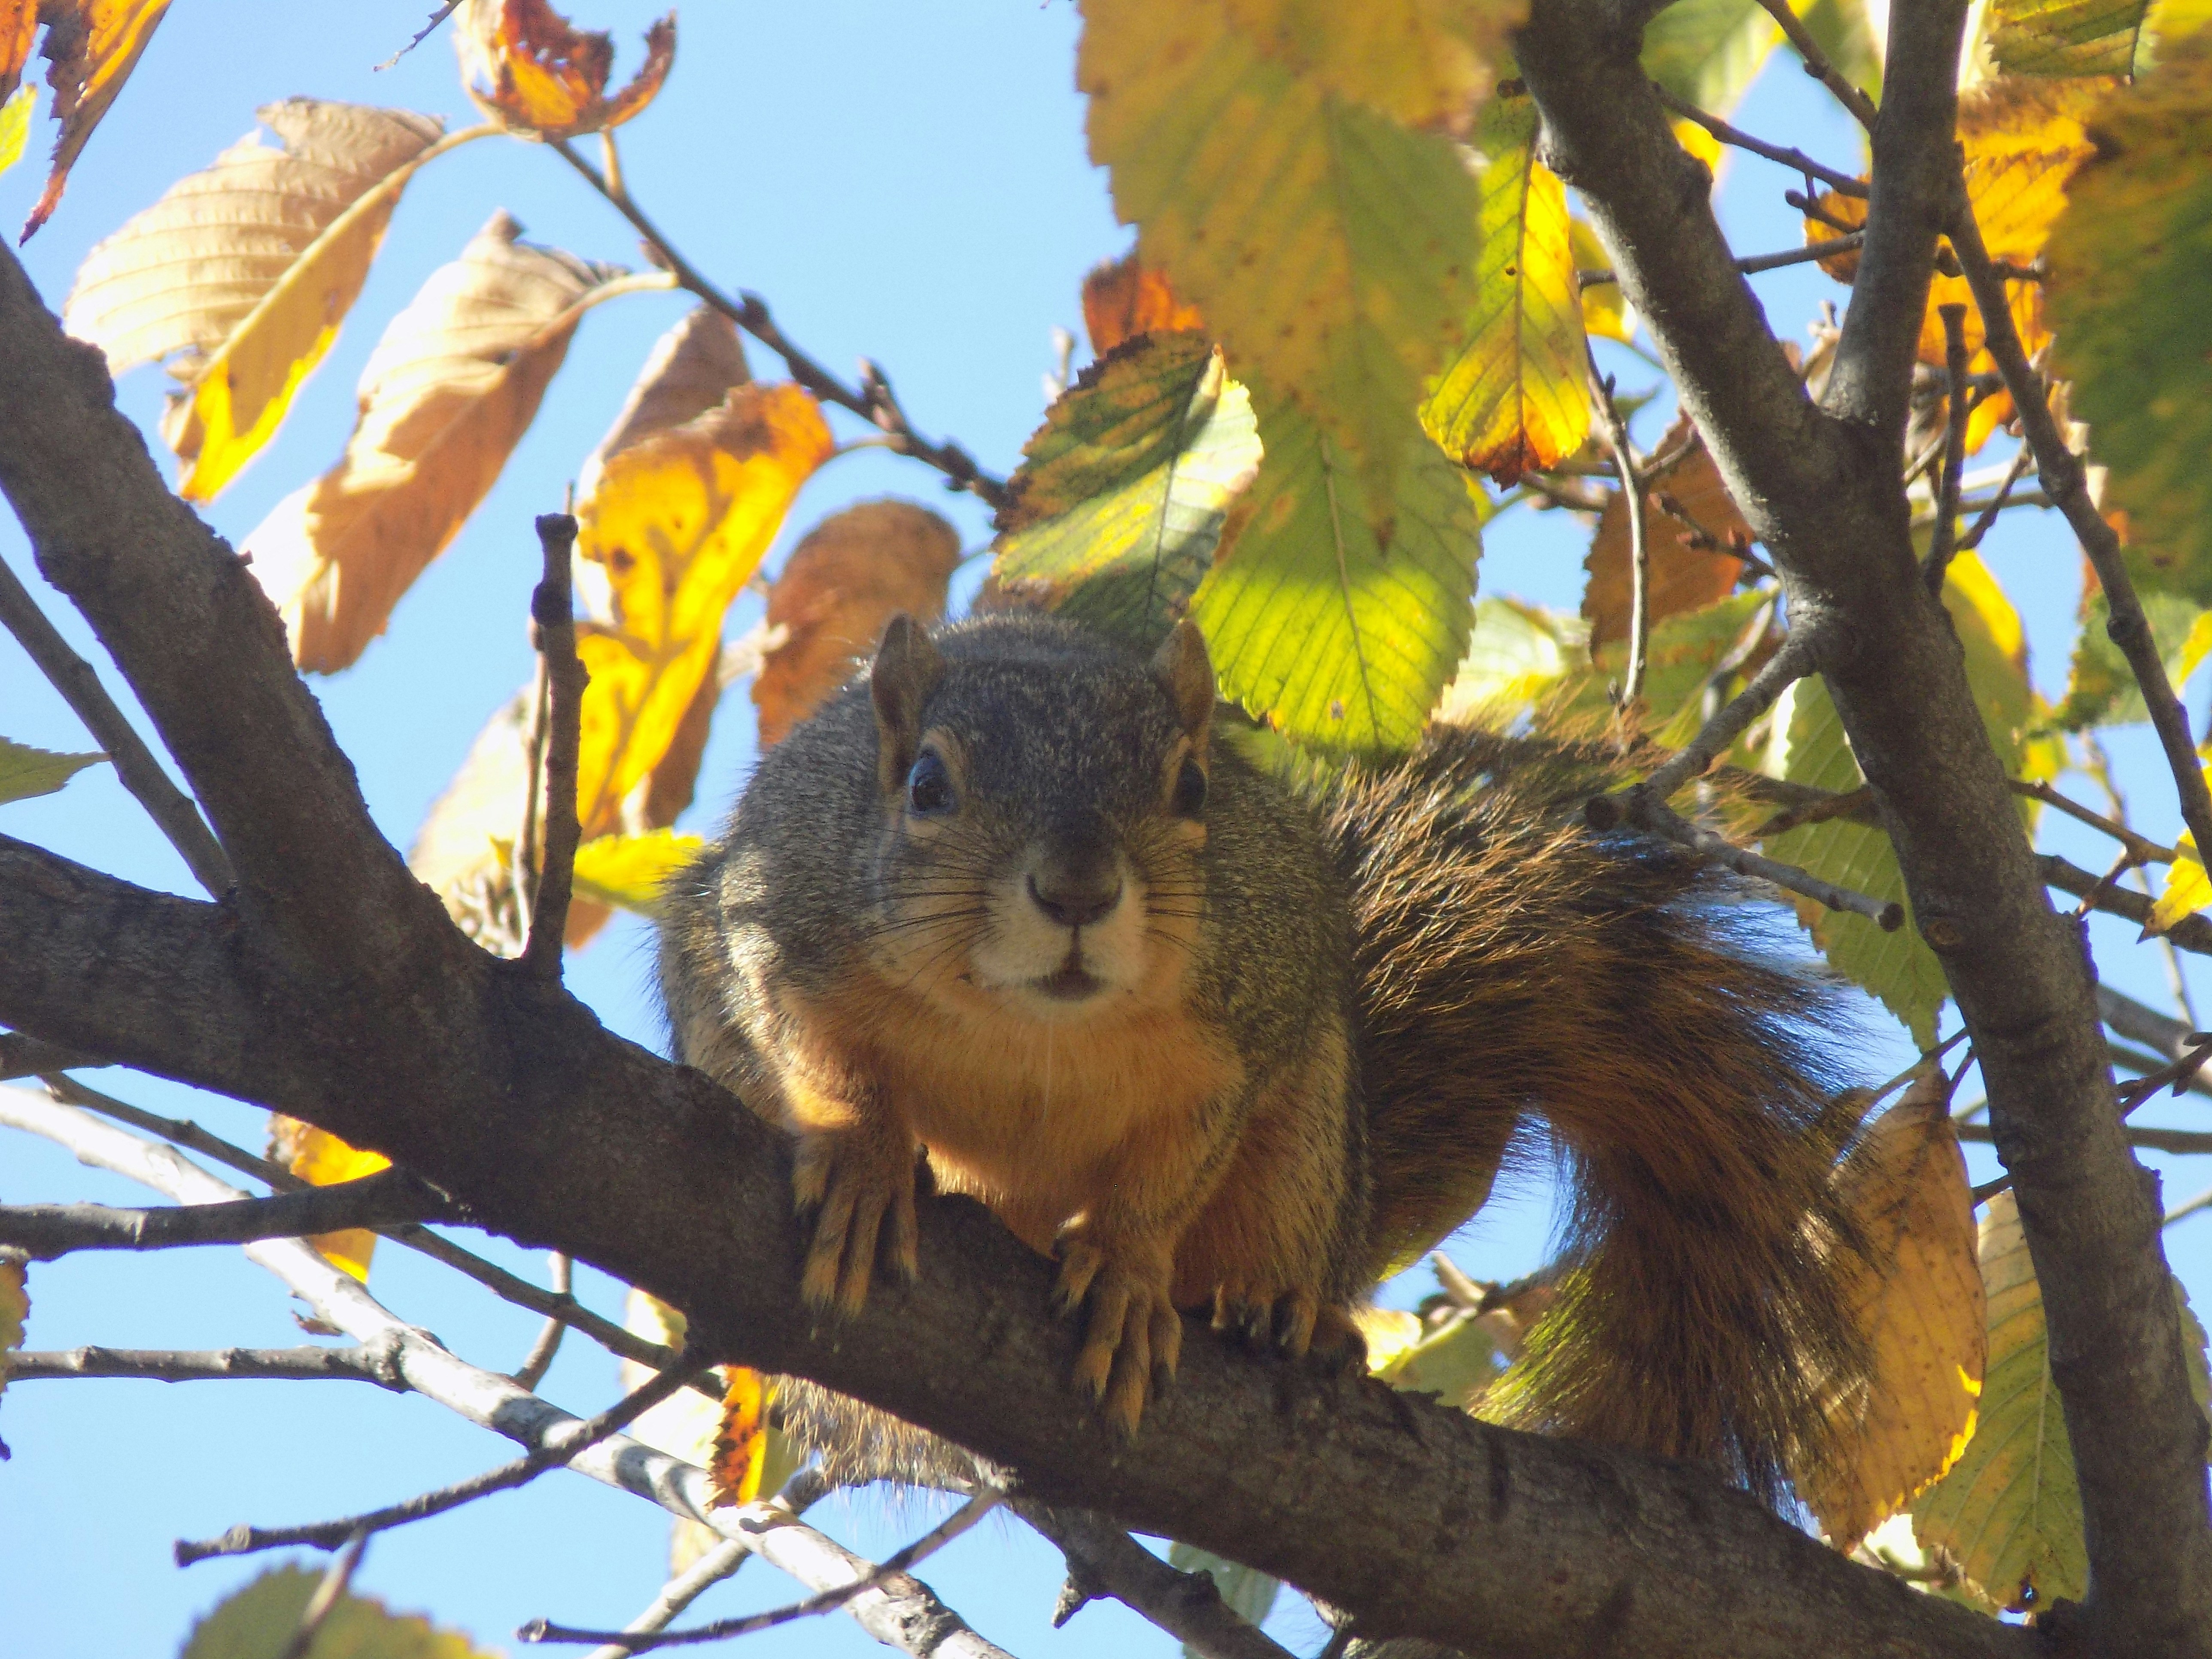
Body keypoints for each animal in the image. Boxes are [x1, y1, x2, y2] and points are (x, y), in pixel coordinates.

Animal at [658, 609, 1868, 1503]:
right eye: (925, 787)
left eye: (1193, 788)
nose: (1078, 891)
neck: (1032, 1025)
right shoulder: (775, 920)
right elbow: (807, 1048)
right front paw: (868, 1162)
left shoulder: (1247, 1025)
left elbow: (1175, 1168)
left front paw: (1129, 1274)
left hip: (1314, 1139)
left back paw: (1291, 1315)